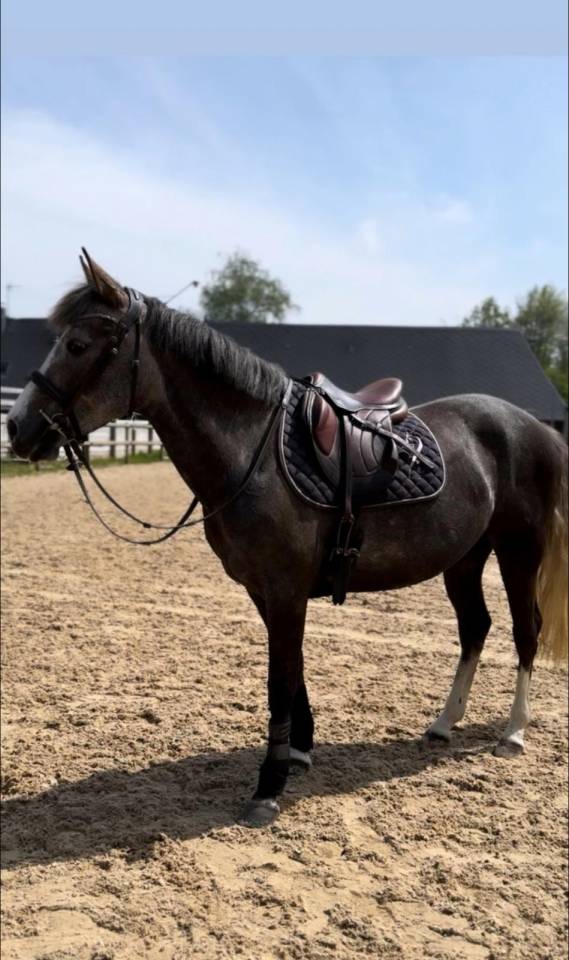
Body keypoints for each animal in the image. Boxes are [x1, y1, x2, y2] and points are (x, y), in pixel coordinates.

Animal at [7, 251, 568, 827]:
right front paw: (298, 751)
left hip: (518, 552)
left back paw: (513, 733)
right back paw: (442, 724)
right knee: (475, 628)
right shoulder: (265, 592)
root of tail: (538, 429)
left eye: (77, 345)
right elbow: (293, 675)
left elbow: (279, 681)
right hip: (464, 558)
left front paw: (267, 787)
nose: (17, 427)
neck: (251, 452)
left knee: (526, 631)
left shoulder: (284, 591)